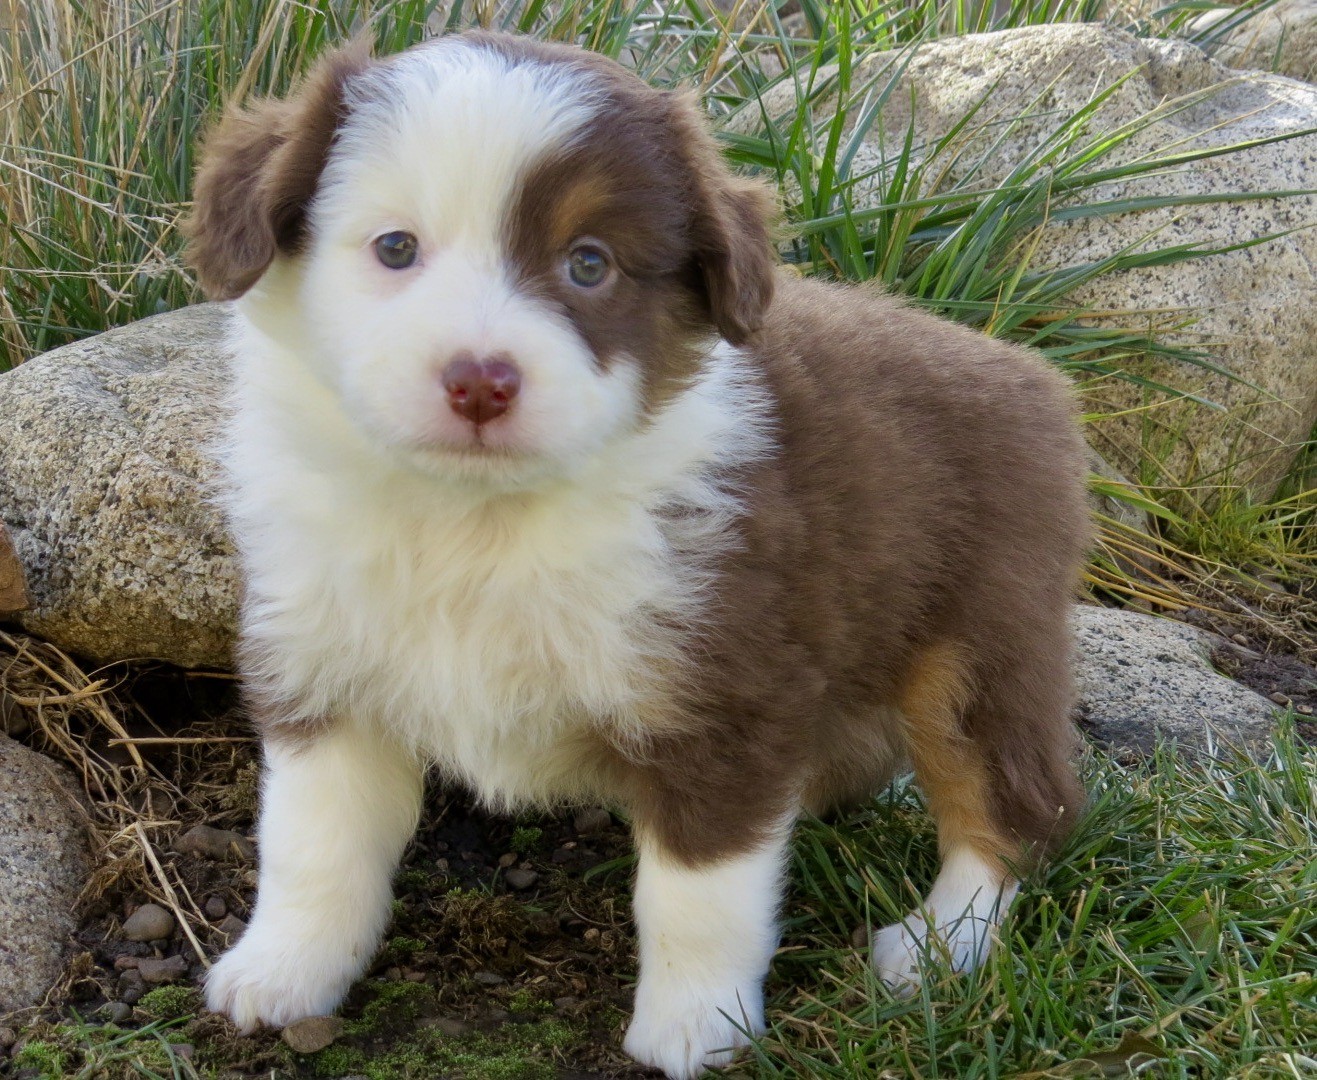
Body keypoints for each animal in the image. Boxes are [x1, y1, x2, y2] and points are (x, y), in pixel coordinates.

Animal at [188, 27, 1090, 1080]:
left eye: (588, 265)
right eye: (394, 248)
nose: (480, 382)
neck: (476, 520)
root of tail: (1027, 373)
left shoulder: (722, 692)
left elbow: (699, 891)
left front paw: (698, 1027)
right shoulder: (323, 670)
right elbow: (313, 844)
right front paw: (282, 972)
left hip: (979, 640)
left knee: (1017, 807)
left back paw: (937, 944)